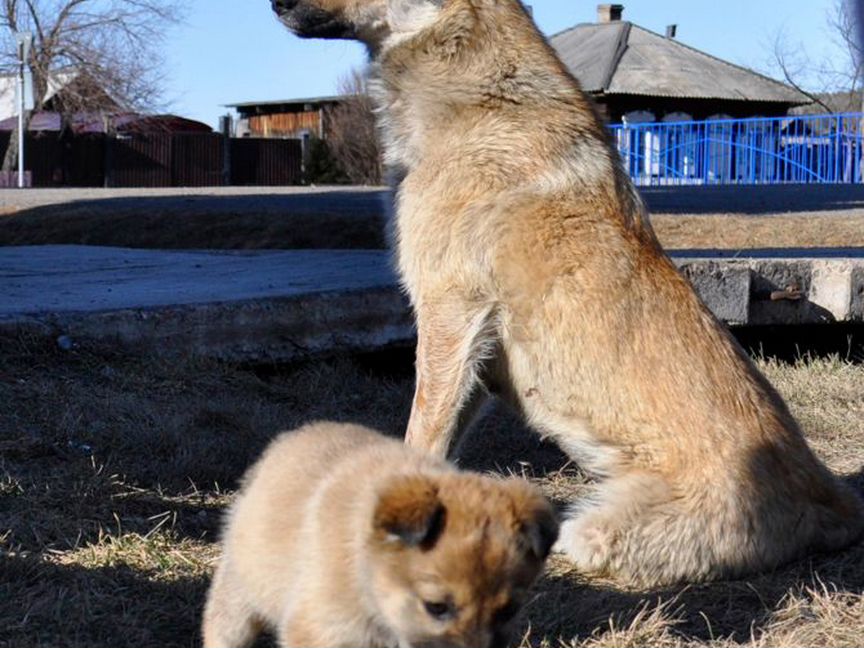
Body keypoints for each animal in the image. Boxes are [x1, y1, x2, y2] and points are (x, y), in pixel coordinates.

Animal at [270, 0, 864, 588]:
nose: (274, 5)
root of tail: (830, 497)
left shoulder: (449, 314)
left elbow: (422, 432)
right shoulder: (475, 351)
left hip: (594, 527)